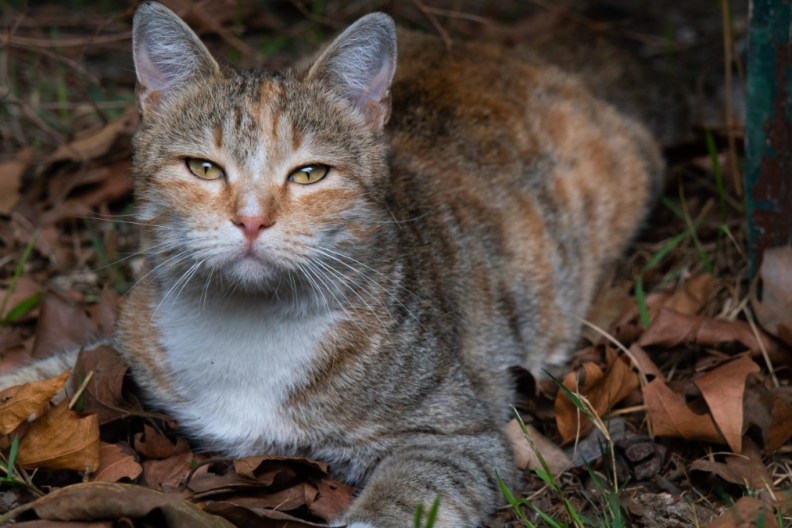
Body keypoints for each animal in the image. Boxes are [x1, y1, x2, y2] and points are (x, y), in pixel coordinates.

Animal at [1, 2, 664, 524]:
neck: (248, 326)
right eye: (204, 168)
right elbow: (46, 372)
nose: (251, 219)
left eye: (310, 173)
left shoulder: (457, 435)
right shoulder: (123, 347)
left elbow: (407, 497)